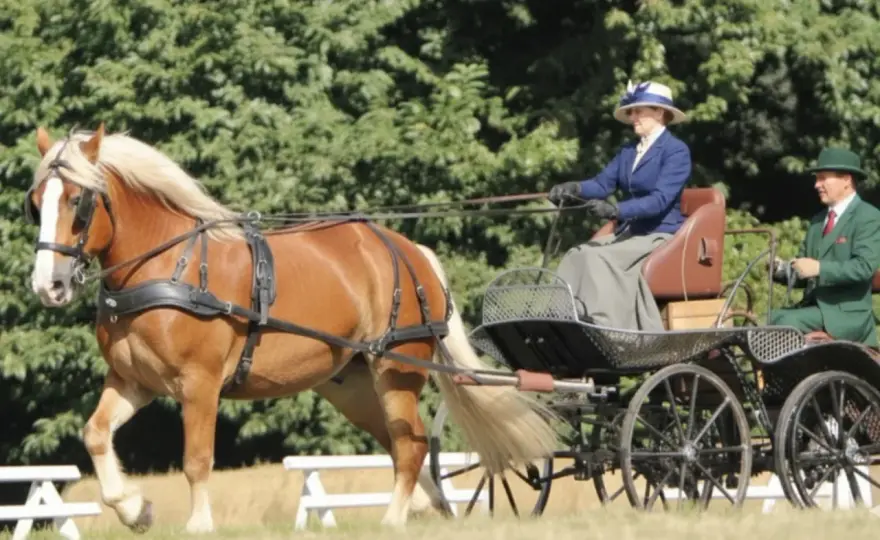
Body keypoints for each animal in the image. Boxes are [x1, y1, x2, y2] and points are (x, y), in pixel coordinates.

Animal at [24, 123, 562, 533]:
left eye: (78, 202)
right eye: (36, 202)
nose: (48, 285)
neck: (168, 267)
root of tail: (410, 251)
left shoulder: (199, 384)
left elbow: (196, 458)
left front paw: (198, 525)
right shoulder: (134, 381)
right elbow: (95, 434)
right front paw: (136, 510)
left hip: (396, 370)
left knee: (410, 446)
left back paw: (393, 518)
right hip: (352, 385)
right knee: (399, 443)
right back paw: (424, 508)